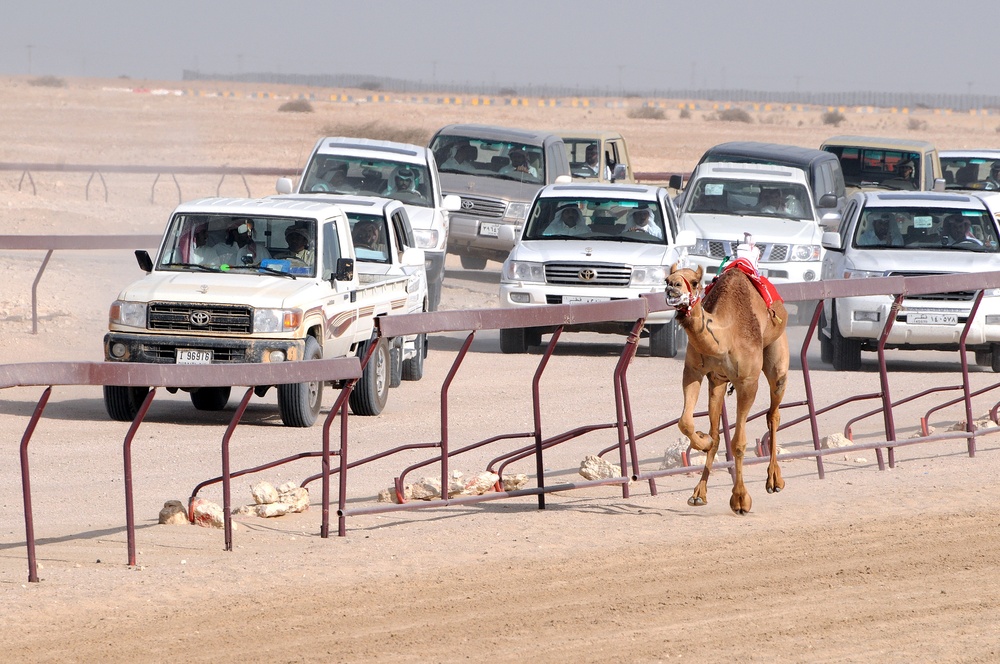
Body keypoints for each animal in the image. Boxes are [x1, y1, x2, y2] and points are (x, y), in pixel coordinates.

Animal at [664, 260, 788, 512]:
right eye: (667, 278)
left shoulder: (748, 382)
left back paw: (774, 480)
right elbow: (686, 422)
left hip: (777, 355)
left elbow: (739, 443)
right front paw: (703, 441)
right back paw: (699, 493)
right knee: (717, 429)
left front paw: (740, 499)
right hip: (718, 383)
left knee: (773, 413)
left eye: (694, 282)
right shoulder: (694, 371)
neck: (725, 336)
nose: (672, 286)